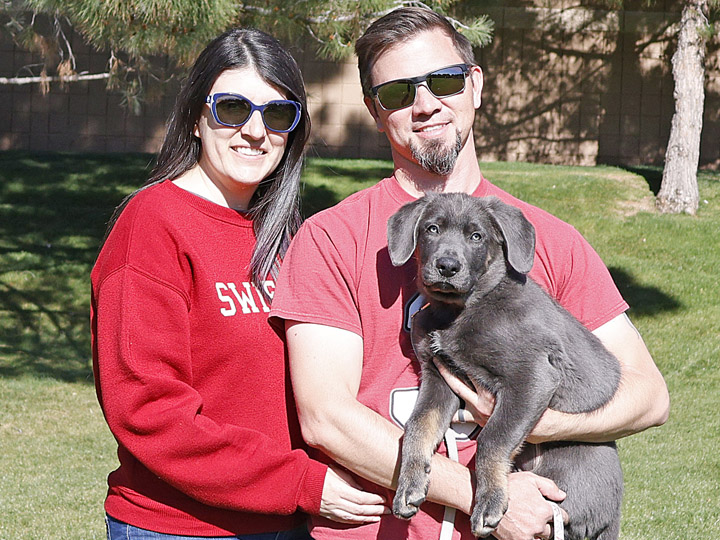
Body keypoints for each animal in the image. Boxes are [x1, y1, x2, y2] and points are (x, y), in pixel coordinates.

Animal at [386, 193, 620, 540]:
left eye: (476, 236)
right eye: (432, 228)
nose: (447, 266)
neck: (458, 310)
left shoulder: (533, 373)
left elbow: (493, 438)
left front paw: (490, 502)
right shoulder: (436, 375)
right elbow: (418, 427)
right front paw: (410, 486)